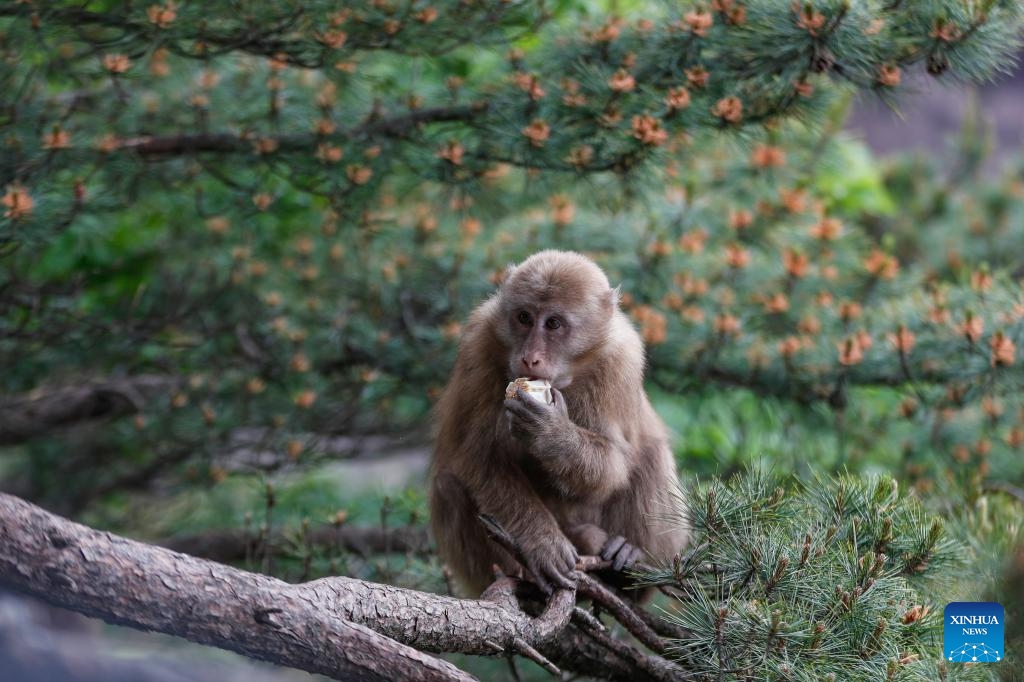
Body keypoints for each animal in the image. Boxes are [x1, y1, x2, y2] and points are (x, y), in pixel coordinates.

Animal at [429, 250, 687, 596]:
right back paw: (520, 573)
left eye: (553, 324)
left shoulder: (621, 359)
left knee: (651, 452)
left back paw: (628, 566)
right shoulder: (478, 344)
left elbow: (615, 462)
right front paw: (543, 544)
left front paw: (552, 434)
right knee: (448, 488)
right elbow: (481, 456)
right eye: (524, 317)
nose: (529, 357)